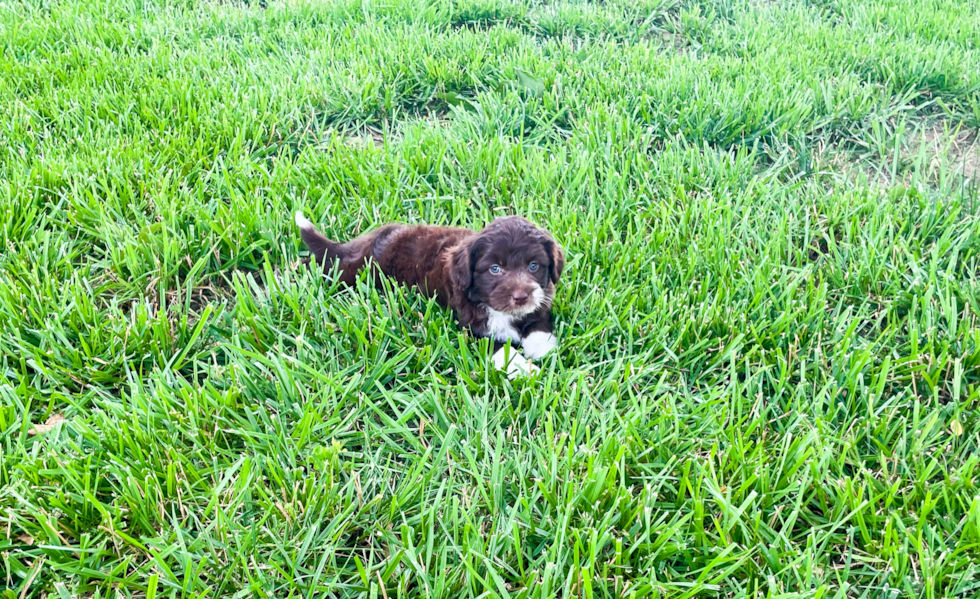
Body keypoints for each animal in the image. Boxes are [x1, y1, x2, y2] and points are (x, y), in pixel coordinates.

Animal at [294, 211, 564, 376]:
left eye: (533, 266)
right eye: (495, 269)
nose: (521, 297)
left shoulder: (540, 302)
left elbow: (538, 327)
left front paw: (544, 351)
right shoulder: (472, 327)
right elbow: (500, 349)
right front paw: (526, 371)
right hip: (358, 270)